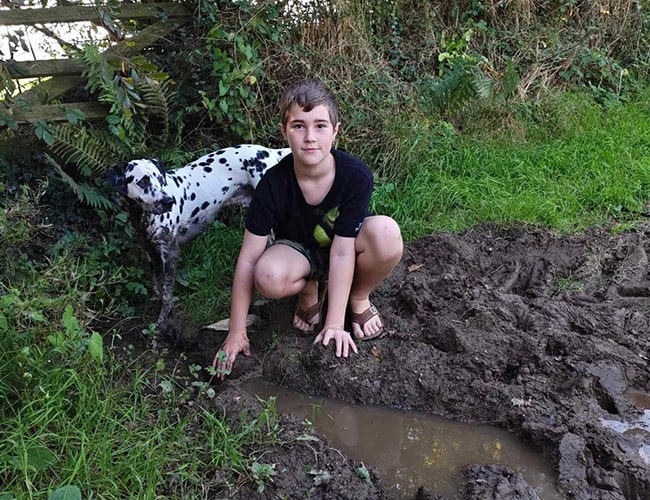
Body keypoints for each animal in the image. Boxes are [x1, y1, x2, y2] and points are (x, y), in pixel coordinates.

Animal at [106, 144, 290, 338]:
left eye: (160, 179)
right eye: (142, 181)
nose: (168, 201)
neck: (141, 216)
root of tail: (269, 151)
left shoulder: (170, 254)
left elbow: (167, 294)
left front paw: (162, 323)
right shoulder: (152, 253)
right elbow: (158, 284)